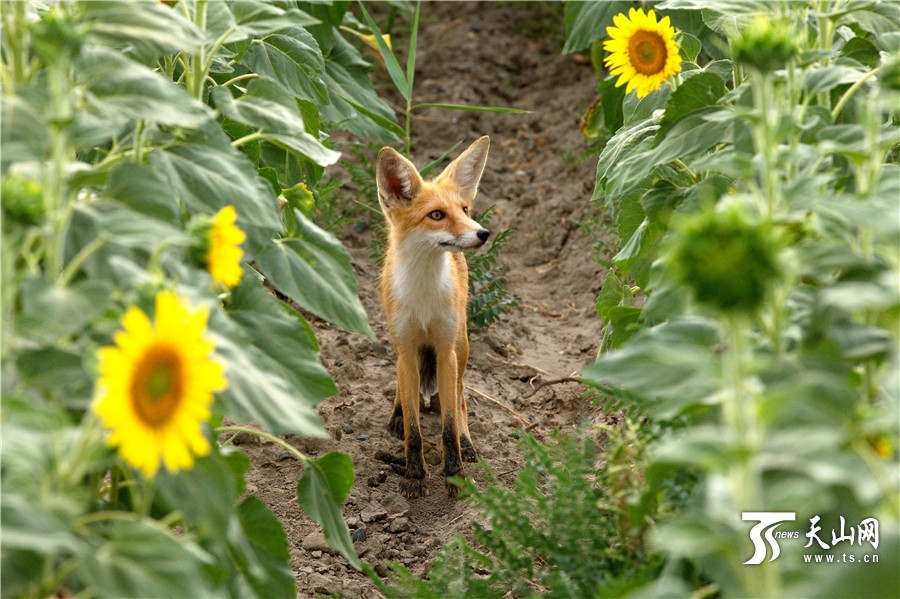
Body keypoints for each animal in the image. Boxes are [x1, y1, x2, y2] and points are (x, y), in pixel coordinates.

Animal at [378, 138, 496, 500]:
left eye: (465, 210)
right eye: (436, 215)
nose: (483, 233)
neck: (425, 300)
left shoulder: (445, 351)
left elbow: (447, 428)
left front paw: (455, 474)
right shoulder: (406, 349)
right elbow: (414, 432)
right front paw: (415, 476)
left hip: (462, 345)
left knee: (460, 398)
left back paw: (468, 443)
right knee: (405, 390)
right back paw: (397, 413)